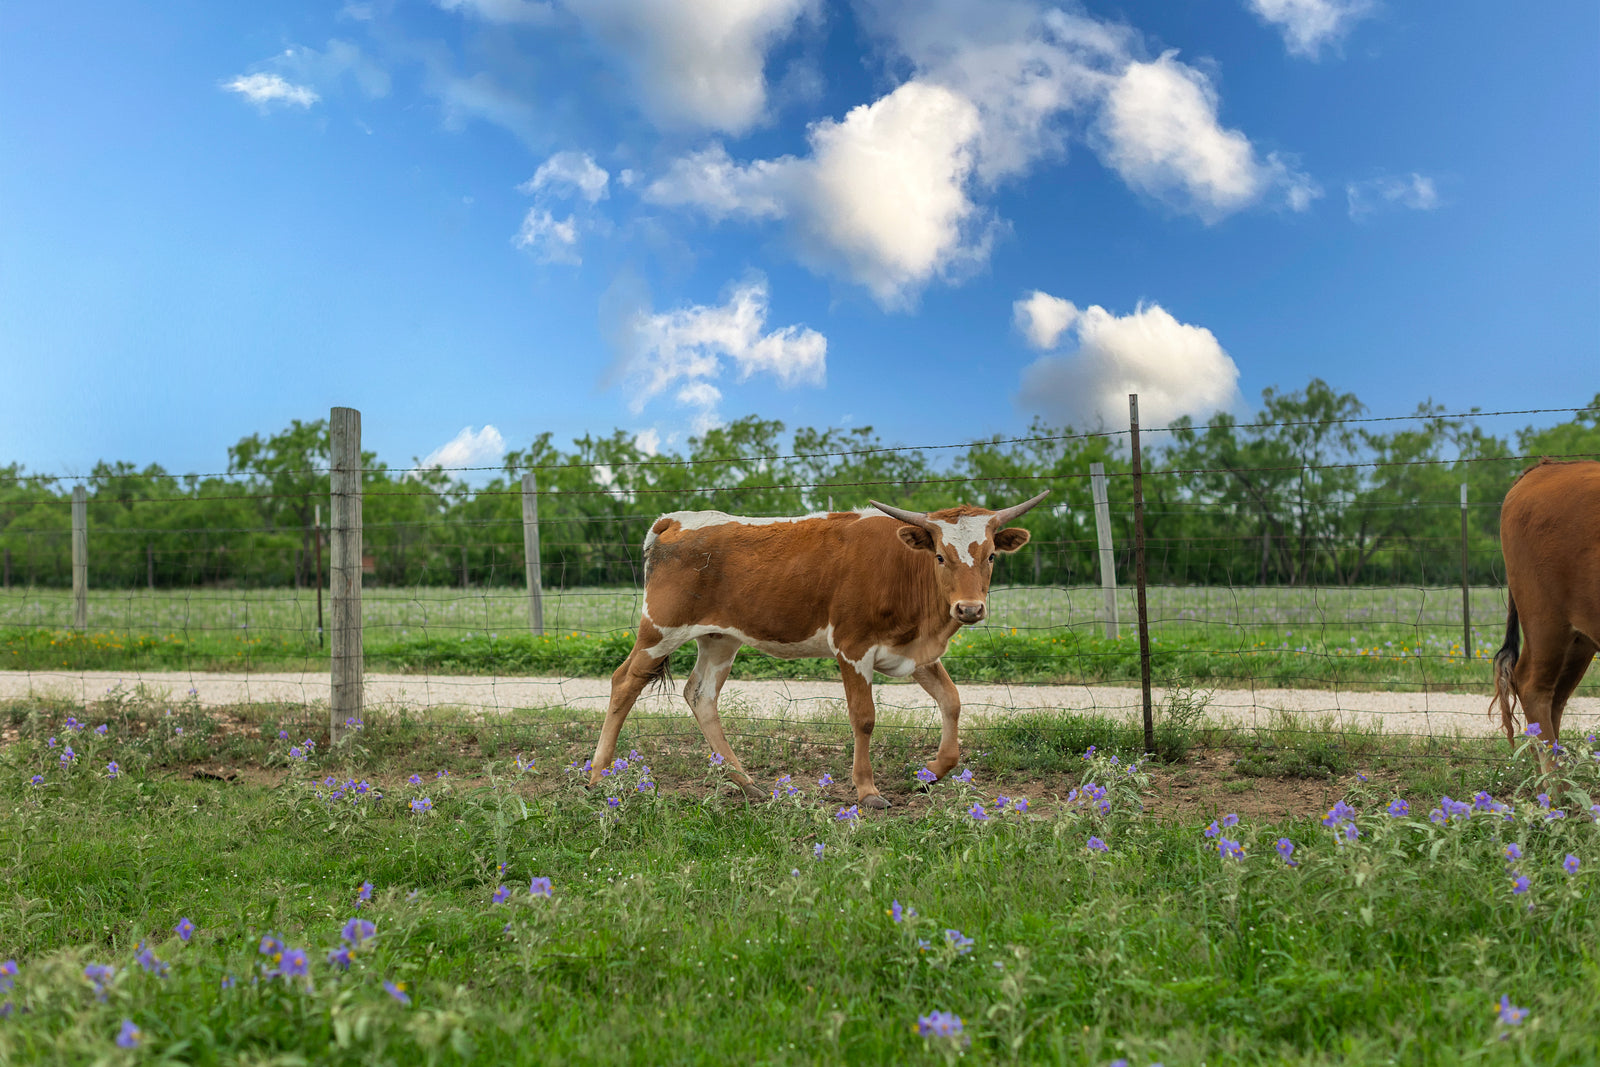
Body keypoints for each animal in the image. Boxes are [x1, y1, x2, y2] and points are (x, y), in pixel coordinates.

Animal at [586, 492, 1050, 808]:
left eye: (991, 556)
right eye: (939, 555)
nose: (969, 608)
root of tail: (678, 520)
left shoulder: (916, 652)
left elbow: (951, 701)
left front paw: (931, 772)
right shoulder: (853, 647)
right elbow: (864, 717)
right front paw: (866, 789)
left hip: (720, 638)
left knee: (700, 694)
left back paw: (745, 781)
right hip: (660, 628)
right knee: (624, 682)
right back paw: (598, 775)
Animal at [1491, 459, 1600, 773]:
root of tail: (1546, 466)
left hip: (1579, 638)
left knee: (1556, 698)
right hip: (1546, 623)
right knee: (1533, 686)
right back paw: (1553, 786)